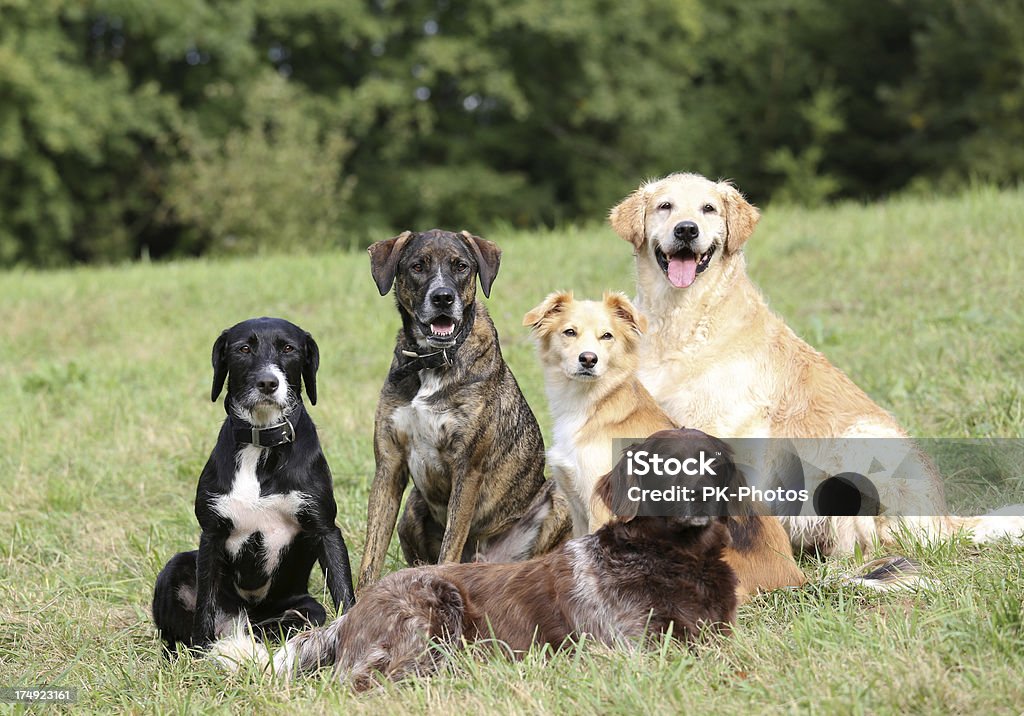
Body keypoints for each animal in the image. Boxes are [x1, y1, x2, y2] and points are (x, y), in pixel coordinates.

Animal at [151, 315, 356, 651]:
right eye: (243, 348)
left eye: (288, 348)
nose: (268, 383)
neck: (261, 445)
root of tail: (242, 617)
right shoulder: (211, 535)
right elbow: (204, 604)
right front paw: (202, 651)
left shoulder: (325, 529)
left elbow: (343, 591)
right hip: (176, 567)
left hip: (305, 608)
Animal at [216, 426, 741, 688]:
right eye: (665, 463)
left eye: (710, 461)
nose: (697, 496)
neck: (672, 560)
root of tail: (353, 612)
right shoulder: (626, 651)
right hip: (432, 611)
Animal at [358, 228, 569, 590]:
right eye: (417, 266)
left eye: (461, 266)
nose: (443, 298)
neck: (432, 360)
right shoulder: (389, 465)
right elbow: (370, 561)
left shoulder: (467, 467)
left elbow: (449, 549)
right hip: (411, 509)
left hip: (560, 500)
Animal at [610, 172, 1019, 553]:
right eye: (666, 206)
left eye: (708, 209)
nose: (686, 229)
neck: (683, 319)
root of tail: (946, 520)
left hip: (859, 441)